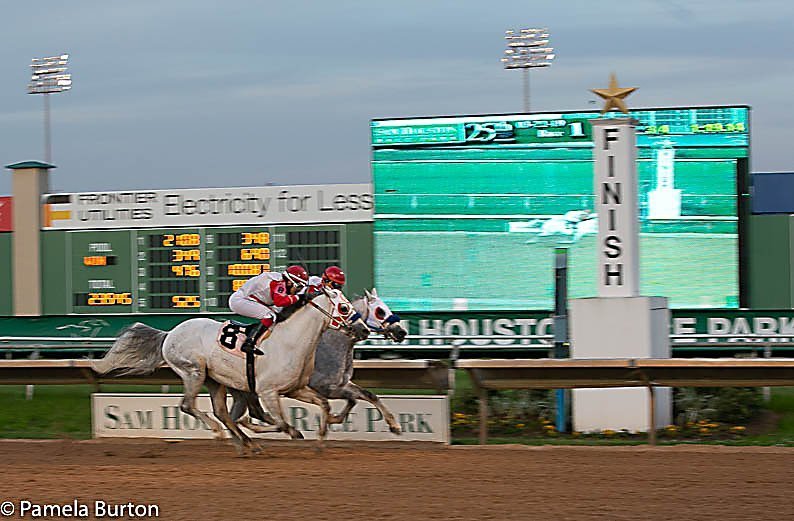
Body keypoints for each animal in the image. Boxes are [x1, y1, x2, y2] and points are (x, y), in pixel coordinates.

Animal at [93, 290, 368, 452]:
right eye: (344, 308)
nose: (364, 330)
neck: (292, 341)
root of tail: (169, 334)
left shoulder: (296, 388)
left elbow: (324, 404)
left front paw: (321, 439)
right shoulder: (268, 391)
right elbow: (280, 422)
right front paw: (282, 430)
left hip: (215, 380)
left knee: (221, 411)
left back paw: (245, 442)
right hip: (194, 372)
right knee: (188, 406)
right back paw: (221, 433)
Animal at [226, 286, 406, 436]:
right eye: (380, 311)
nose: (401, 332)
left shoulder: (341, 384)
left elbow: (366, 396)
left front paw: (395, 425)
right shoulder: (323, 388)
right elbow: (351, 399)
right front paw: (332, 419)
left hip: (242, 387)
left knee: (245, 413)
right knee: (254, 413)